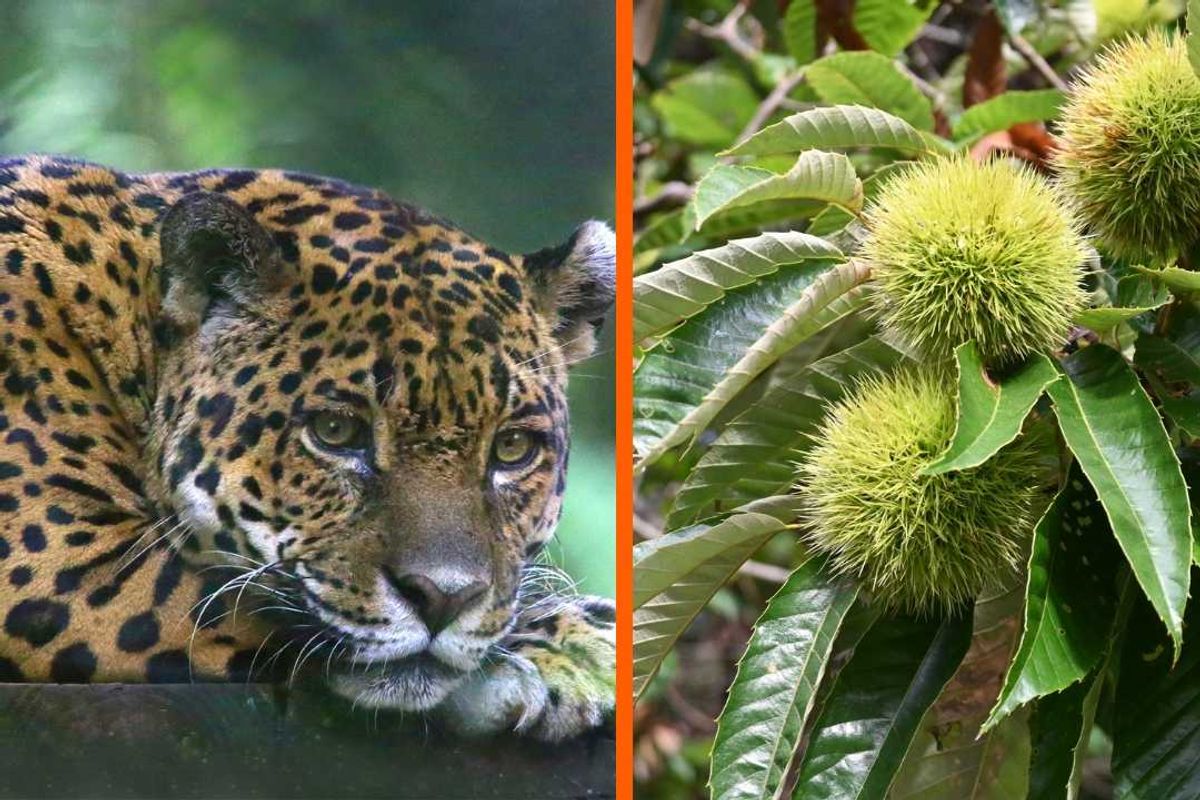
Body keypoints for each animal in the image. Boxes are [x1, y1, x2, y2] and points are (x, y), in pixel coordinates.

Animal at [0, 154, 615, 742]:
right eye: (336, 432)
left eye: (512, 447)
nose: (443, 598)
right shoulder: (58, 560)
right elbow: (249, 608)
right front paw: (572, 646)